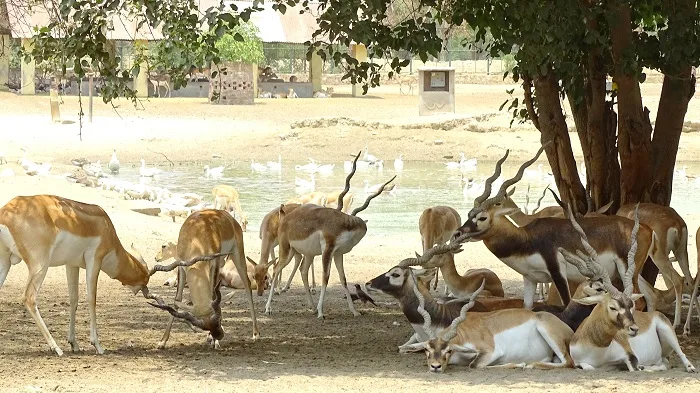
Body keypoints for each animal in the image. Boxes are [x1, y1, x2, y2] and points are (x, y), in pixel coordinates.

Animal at [0, 195, 154, 356]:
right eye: (145, 280)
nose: (147, 293)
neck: (105, 226)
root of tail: (6, 213)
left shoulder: (71, 264)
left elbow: (73, 299)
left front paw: (74, 343)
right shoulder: (94, 260)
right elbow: (92, 299)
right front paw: (97, 345)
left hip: (5, 262)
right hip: (40, 266)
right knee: (29, 298)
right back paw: (56, 348)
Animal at [149, 210, 258, 348]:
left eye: (218, 319)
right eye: (204, 326)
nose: (219, 335)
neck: (196, 239)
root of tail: (227, 215)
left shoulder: (214, 263)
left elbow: (213, 295)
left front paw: (215, 341)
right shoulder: (181, 266)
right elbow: (177, 299)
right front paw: (162, 341)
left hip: (236, 255)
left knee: (247, 285)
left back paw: (255, 334)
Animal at [264, 152, 394, 316]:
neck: (344, 225)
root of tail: (284, 218)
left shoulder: (338, 253)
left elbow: (343, 279)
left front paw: (354, 311)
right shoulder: (328, 250)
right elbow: (325, 278)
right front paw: (321, 312)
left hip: (305, 253)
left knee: (303, 271)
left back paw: (312, 307)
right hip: (286, 251)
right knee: (276, 269)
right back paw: (268, 308)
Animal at [568, 207, 696, 372]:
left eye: (631, 306)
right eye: (612, 307)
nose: (634, 329)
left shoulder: (629, 356)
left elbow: (633, 365)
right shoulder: (579, 363)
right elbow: (589, 367)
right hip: (679, 254)